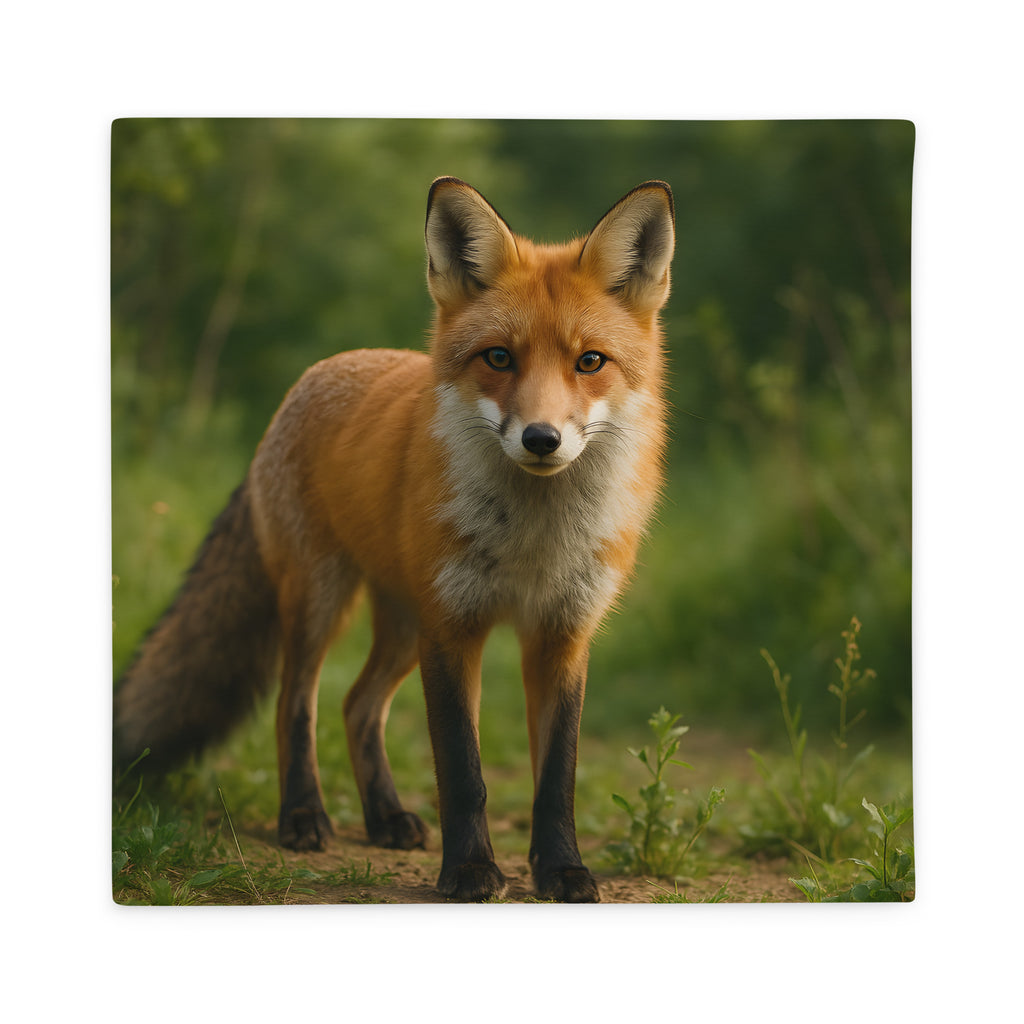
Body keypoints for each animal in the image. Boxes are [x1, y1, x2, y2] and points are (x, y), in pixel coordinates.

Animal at [113, 176, 674, 902]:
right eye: (499, 357)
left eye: (590, 362)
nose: (542, 439)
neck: (533, 541)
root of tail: (317, 374)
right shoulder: (454, 629)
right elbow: (462, 772)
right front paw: (468, 871)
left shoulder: (561, 635)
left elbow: (557, 778)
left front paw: (562, 870)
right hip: (323, 601)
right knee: (298, 705)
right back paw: (303, 816)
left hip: (405, 624)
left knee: (358, 705)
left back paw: (384, 817)